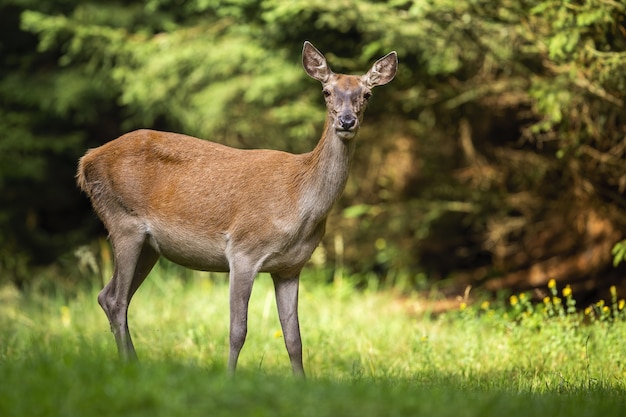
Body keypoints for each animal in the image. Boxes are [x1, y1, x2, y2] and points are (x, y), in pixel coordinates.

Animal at [77, 40, 394, 376]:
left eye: (367, 94)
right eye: (326, 91)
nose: (346, 121)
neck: (298, 201)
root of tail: (86, 162)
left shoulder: (290, 267)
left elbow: (294, 338)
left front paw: (301, 381)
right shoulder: (243, 250)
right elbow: (237, 330)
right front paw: (229, 378)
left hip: (150, 245)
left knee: (107, 295)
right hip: (123, 220)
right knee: (116, 299)